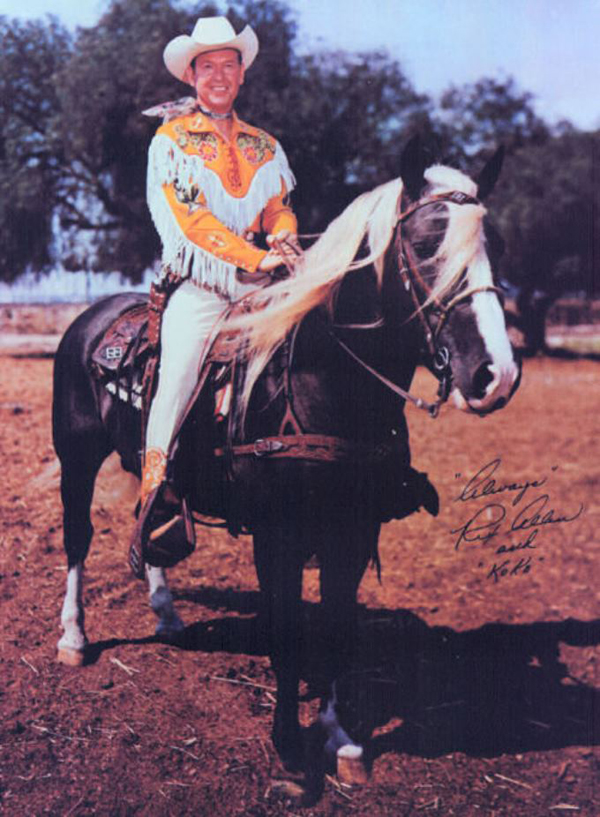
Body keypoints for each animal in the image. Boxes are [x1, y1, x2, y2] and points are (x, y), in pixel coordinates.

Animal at [52, 140, 520, 776]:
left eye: (495, 246)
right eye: (426, 246)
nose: (496, 375)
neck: (322, 381)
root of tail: (91, 318)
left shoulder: (353, 530)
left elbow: (337, 628)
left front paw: (341, 737)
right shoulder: (278, 535)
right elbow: (284, 630)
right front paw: (288, 746)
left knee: (147, 511)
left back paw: (167, 614)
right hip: (75, 458)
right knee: (77, 538)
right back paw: (74, 638)